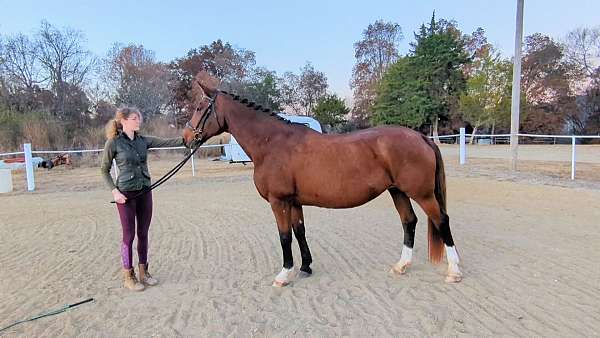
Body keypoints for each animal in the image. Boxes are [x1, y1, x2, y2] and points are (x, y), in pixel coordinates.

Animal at [183, 72, 464, 286]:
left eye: (199, 107)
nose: (186, 138)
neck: (273, 144)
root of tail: (421, 137)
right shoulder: (294, 202)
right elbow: (299, 231)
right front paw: (305, 267)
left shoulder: (279, 201)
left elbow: (284, 236)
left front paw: (284, 274)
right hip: (398, 191)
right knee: (409, 222)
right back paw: (401, 265)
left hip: (422, 194)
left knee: (441, 220)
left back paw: (454, 271)